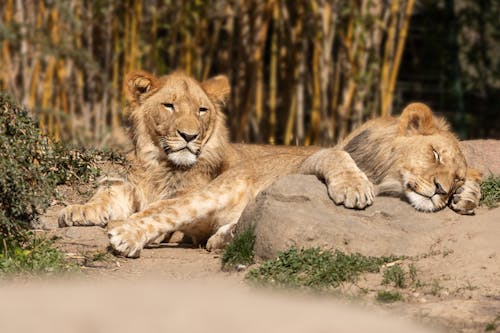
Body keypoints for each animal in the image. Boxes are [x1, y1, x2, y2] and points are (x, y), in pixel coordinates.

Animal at [57, 70, 480, 256]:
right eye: (435, 154)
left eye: (456, 178)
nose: (443, 191)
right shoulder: (311, 158)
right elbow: (337, 156)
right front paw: (354, 187)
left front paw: (468, 198)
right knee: (162, 211)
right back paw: (126, 234)